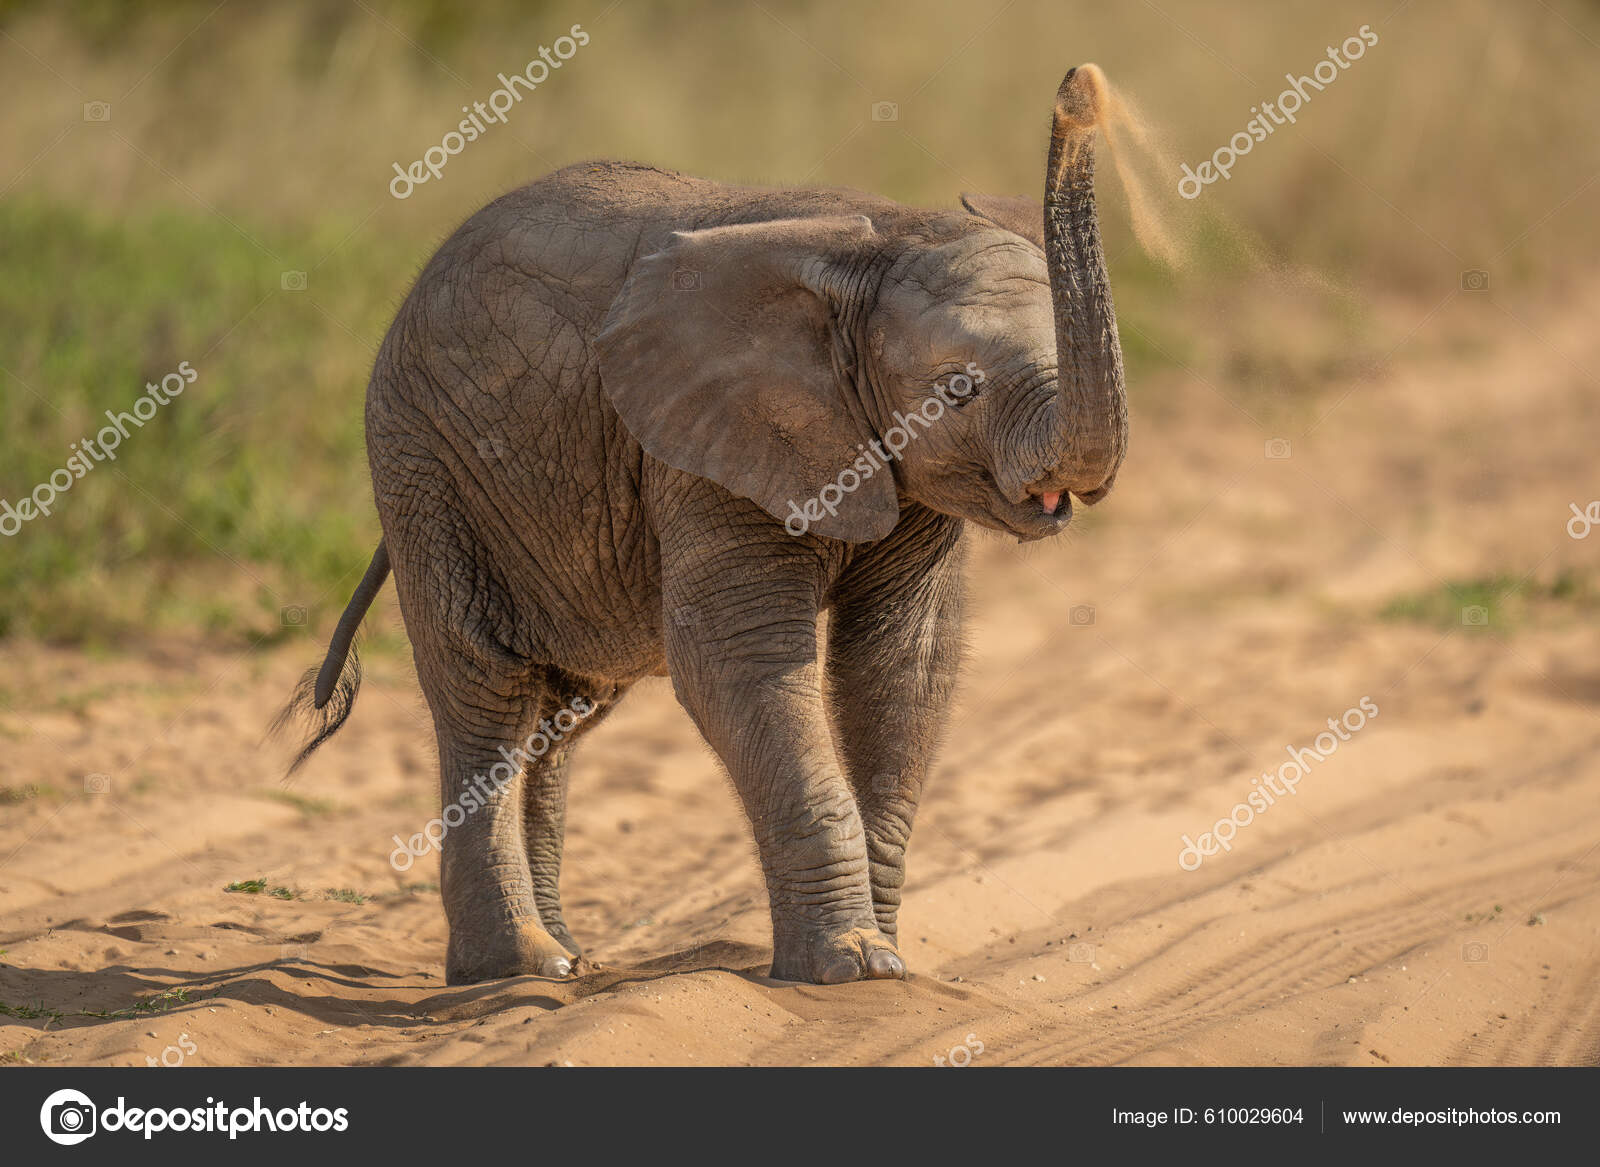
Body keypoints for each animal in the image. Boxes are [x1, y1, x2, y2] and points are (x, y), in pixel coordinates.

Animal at [278, 63, 1126, 986]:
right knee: (486, 689)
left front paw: (886, 957)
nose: (1080, 87)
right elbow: (738, 656)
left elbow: (901, 664)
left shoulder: (908, 480)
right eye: (959, 390)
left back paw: (566, 956)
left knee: (561, 711)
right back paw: (519, 966)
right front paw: (852, 965)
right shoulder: (698, 446)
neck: (884, 241)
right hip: (424, 462)